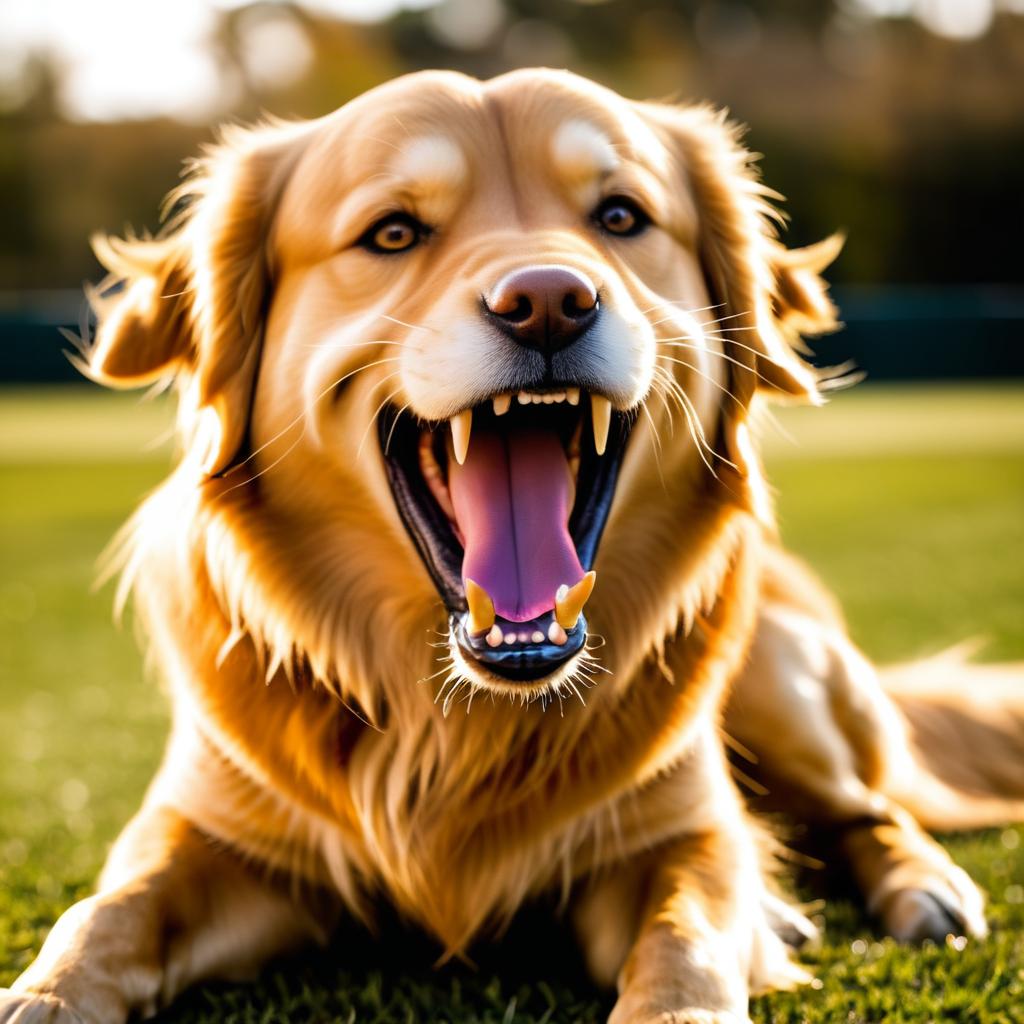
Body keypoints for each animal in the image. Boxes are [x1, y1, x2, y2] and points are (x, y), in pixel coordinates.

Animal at [4, 68, 1019, 1019]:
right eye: (392, 233)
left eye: (621, 216)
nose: (548, 300)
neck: (455, 724)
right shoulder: (203, 826)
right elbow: (108, 909)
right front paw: (47, 993)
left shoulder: (683, 835)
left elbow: (688, 938)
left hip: (780, 683)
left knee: (867, 807)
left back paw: (921, 887)